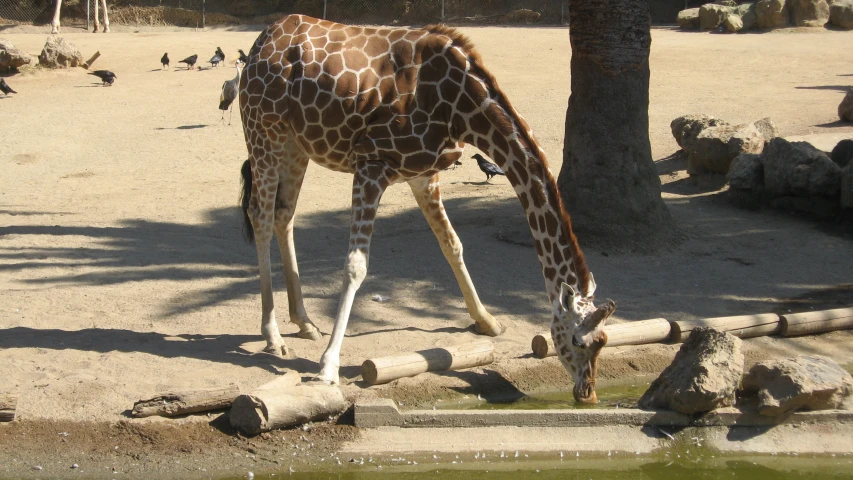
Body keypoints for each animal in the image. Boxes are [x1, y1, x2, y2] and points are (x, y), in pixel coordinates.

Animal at [236, 15, 616, 404]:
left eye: (604, 341)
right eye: (577, 340)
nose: (588, 393)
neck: (460, 108)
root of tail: (262, 42)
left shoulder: (422, 174)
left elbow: (452, 244)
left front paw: (487, 321)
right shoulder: (372, 164)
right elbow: (356, 266)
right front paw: (328, 368)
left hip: (295, 143)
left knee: (284, 215)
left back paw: (305, 322)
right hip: (264, 129)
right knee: (260, 216)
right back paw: (273, 336)